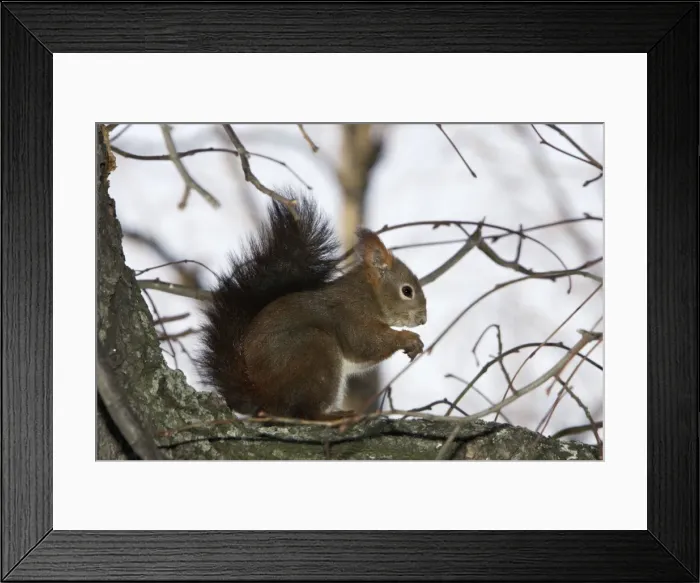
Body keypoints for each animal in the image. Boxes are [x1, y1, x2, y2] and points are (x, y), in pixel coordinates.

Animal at [196, 191, 427, 421]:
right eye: (407, 291)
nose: (423, 319)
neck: (369, 294)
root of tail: (263, 398)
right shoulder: (351, 314)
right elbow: (365, 343)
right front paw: (407, 338)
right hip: (316, 352)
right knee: (304, 412)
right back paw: (333, 417)